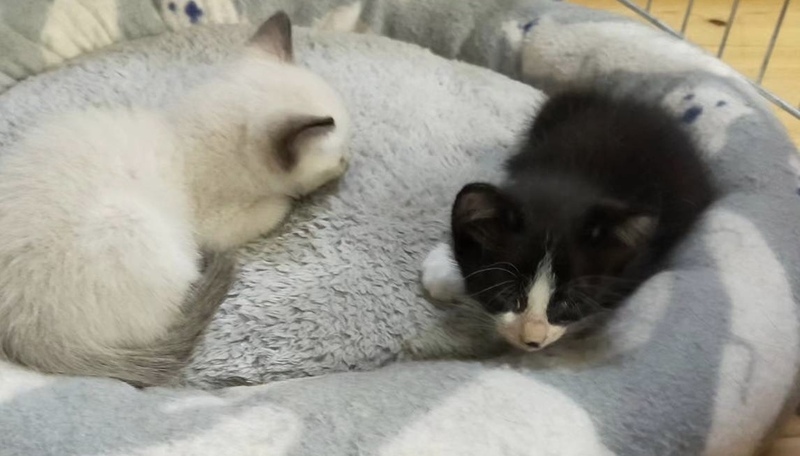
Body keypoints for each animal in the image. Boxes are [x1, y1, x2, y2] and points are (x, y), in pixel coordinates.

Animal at [0, 12, 351, 387]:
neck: (183, 138)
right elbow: (277, 205)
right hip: (134, 226)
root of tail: (27, 337)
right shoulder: (221, 223)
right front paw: (307, 190)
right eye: (340, 157)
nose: (348, 163)